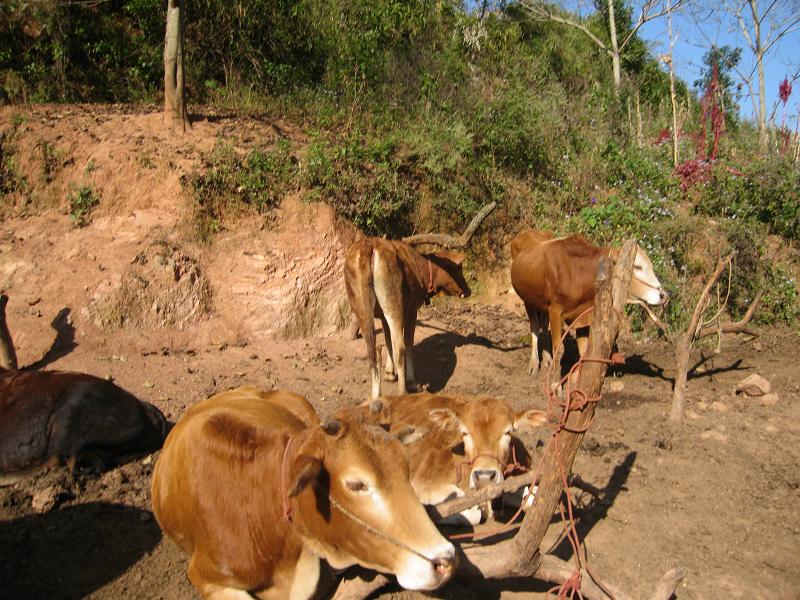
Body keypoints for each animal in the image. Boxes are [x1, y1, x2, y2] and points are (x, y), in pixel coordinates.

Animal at [512, 230, 668, 376]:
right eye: (637, 267)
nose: (663, 295)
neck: (577, 271)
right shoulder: (555, 310)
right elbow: (559, 349)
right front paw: (556, 384)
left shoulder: (581, 316)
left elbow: (583, 351)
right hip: (528, 300)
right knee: (535, 327)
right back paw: (534, 364)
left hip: (542, 304)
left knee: (544, 325)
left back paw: (547, 360)